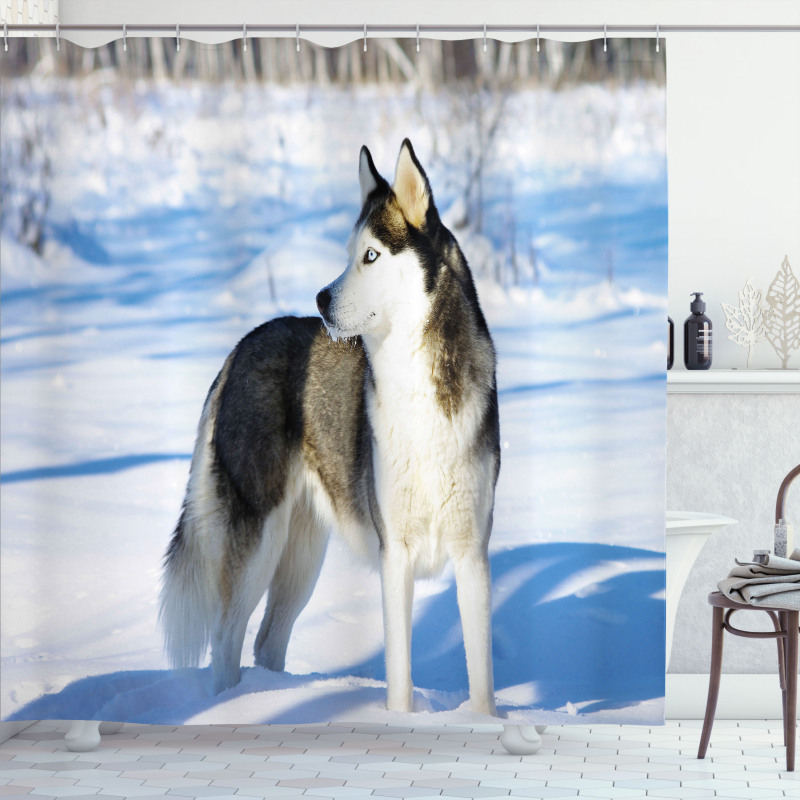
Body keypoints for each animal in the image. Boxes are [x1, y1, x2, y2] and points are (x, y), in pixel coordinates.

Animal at [160, 139, 500, 712]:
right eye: (348, 252)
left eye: (371, 255)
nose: (320, 298)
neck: (416, 394)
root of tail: (240, 348)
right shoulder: (394, 554)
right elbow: (400, 677)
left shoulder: (472, 553)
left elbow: (482, 681)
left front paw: (481, 722)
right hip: (258, 541)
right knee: (226, 641)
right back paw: (234, 706)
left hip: (302, 554)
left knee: (266, 642)